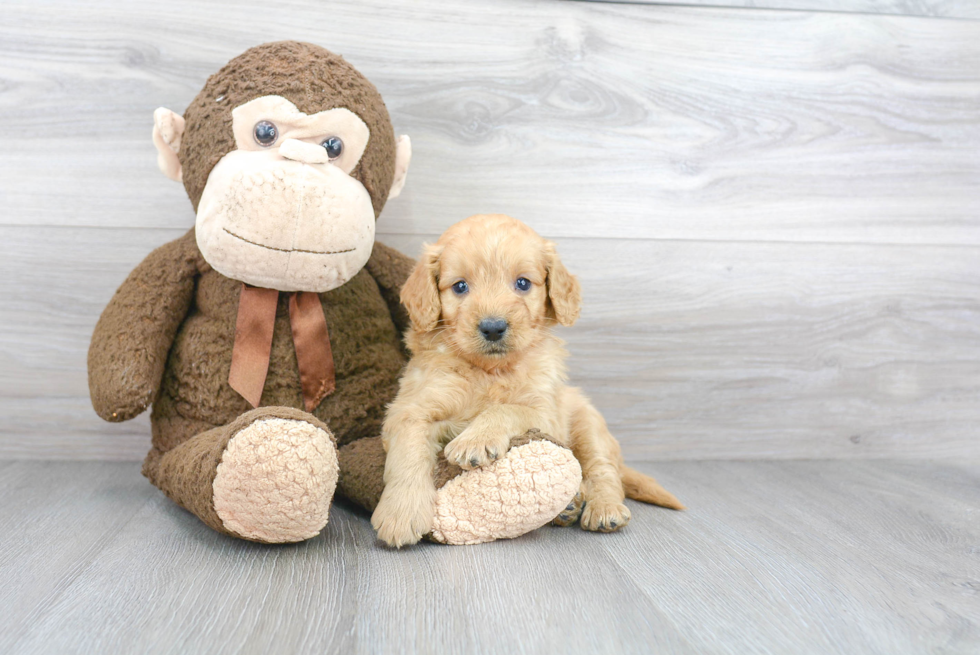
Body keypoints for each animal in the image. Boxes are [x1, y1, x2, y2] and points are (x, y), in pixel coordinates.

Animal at [368, 217, 680, 548]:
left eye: (523, 283)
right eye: (460, 286)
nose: (493, 327)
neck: (490, 371)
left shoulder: (546, 413)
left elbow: (506, 409)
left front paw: (474, 440)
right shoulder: (410, 408)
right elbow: (408, 454)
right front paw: (401, 514)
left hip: (588, 423)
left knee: (603, 471)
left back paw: (603, 508)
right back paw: (568, 506)